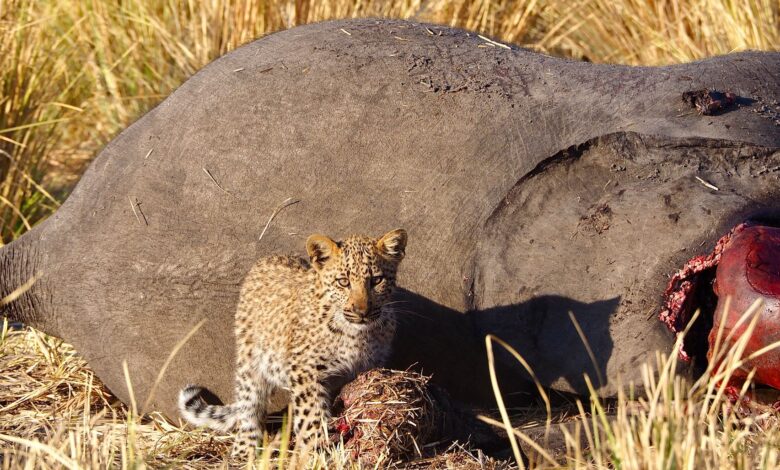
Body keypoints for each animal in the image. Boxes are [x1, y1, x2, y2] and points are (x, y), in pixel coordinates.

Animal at [178, 229, 407, 459]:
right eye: (343, 282)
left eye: (377, 280)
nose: (362, 312)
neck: (356, 335)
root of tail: (267, 259)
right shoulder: (305, 369)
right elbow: (311, 415)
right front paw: (317, 450)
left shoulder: (366, 367)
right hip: (249, 360)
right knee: (249, 405)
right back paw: (245, 450)